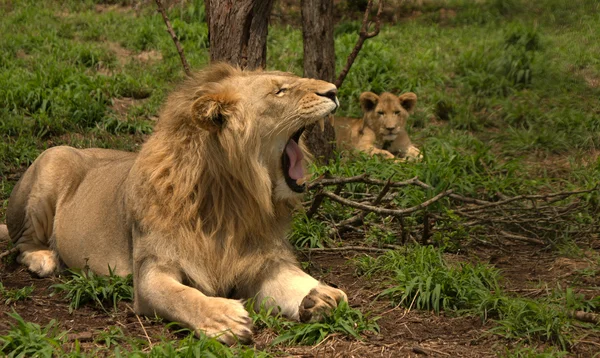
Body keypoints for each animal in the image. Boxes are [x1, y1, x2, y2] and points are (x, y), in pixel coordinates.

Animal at [3, 63, 346, 346]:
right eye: (280, 90)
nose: (333, 91)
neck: (231, 199)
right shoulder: (151, 271)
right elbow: (181, 296)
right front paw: (223, 317)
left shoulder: (259, 261)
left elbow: (293, 281)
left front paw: (321, 296)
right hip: (54, 159)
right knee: (21, 243)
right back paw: (44, 259)